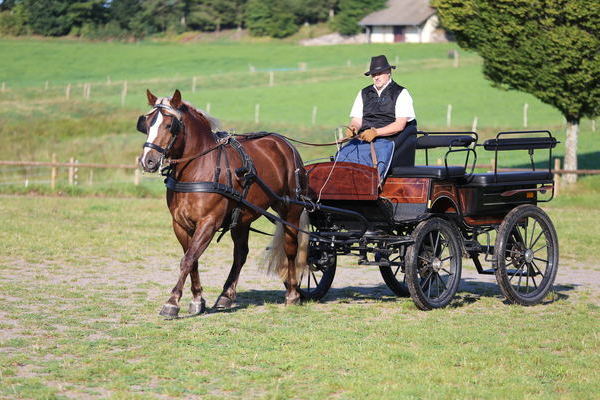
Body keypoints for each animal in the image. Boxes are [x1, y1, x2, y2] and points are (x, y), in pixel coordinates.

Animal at [138, 89, 310, 318]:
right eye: (147, 124)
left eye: (169, 125)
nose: (147, 161)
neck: (197, 168)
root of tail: (284, 144)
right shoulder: (180, 224)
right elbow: (192, 259)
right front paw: (197, 299)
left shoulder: (208, 222)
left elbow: (187, 260)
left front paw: (172, 302)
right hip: (243, 215)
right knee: (240, 254)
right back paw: (226, 296)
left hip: (290, 209)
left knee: (290, 248)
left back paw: (292, 293)